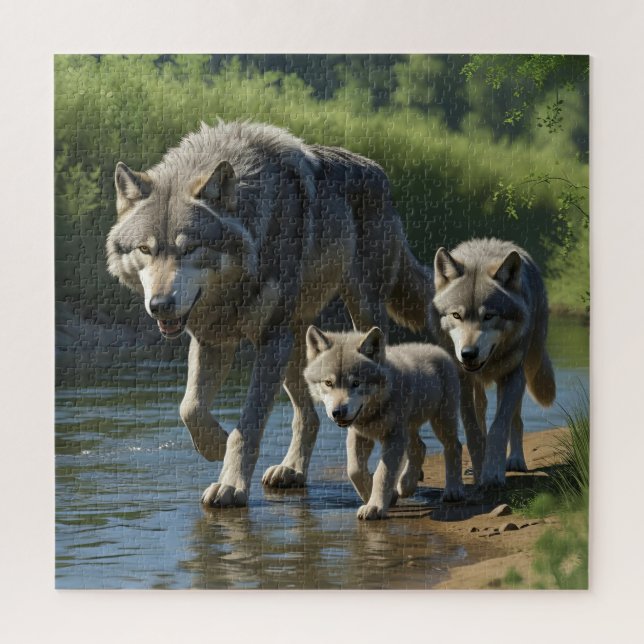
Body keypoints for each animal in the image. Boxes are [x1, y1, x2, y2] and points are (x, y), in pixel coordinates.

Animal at [106, 120, 432, 507]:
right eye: (145, 249)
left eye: (190, 249)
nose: (160, 305)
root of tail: (380, 172)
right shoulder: (213, 341)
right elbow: (190, 408)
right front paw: (215, 445)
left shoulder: (269, 339)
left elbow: (247, 426)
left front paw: (231, 485)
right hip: (297, 347)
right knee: (309, 418)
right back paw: (292, 470)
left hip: (357, 315)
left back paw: (406, 474)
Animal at [304, 325, 464, 520]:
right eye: (328, 383)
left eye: (356, 383)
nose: (338, 412)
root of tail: (437, 349)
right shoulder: (359, 436)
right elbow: (354, 471)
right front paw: (378, 496)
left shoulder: (393, 438)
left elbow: (383, 474)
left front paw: (375, 506)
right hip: (409, 428)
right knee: (420, 447)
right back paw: (406, 485)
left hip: (441, 421)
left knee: (454, 446)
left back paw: (453, 490)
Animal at [429, 238, 556, 489]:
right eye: (456, 316)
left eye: (489, 316)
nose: (468, 353)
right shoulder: (463, 381)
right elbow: (473, 430)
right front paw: (480, 469)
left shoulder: (513, 376)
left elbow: (500, 426)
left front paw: (492, 473)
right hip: (479, 386)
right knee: (483, 410)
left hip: (524, 368)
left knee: (515, 419)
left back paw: (515, 460)